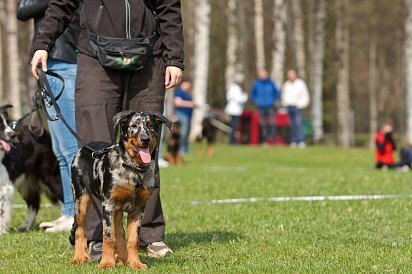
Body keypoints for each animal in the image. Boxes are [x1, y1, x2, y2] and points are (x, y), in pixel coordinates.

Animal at [0, 104, 62, 232]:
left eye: (6, 123)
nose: (12, 135)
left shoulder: (5, 186)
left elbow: (1, 211)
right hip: (26, 183)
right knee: (34, 203)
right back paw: (26, 226)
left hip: (50, 178)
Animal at [69, 111, 171, 270]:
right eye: (133, 125)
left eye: (151, 125)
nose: (145, 139)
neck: (133, 170)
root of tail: (85, 148)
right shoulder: (108, 206)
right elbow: (109, 237)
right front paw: (106, 263)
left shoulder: (138, 209)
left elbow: (132, 240)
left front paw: (135, 263)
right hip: (81, 199)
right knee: (80, 230)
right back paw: (79, 257)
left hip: (116, 210)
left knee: (120, 233)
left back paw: (122, 259)